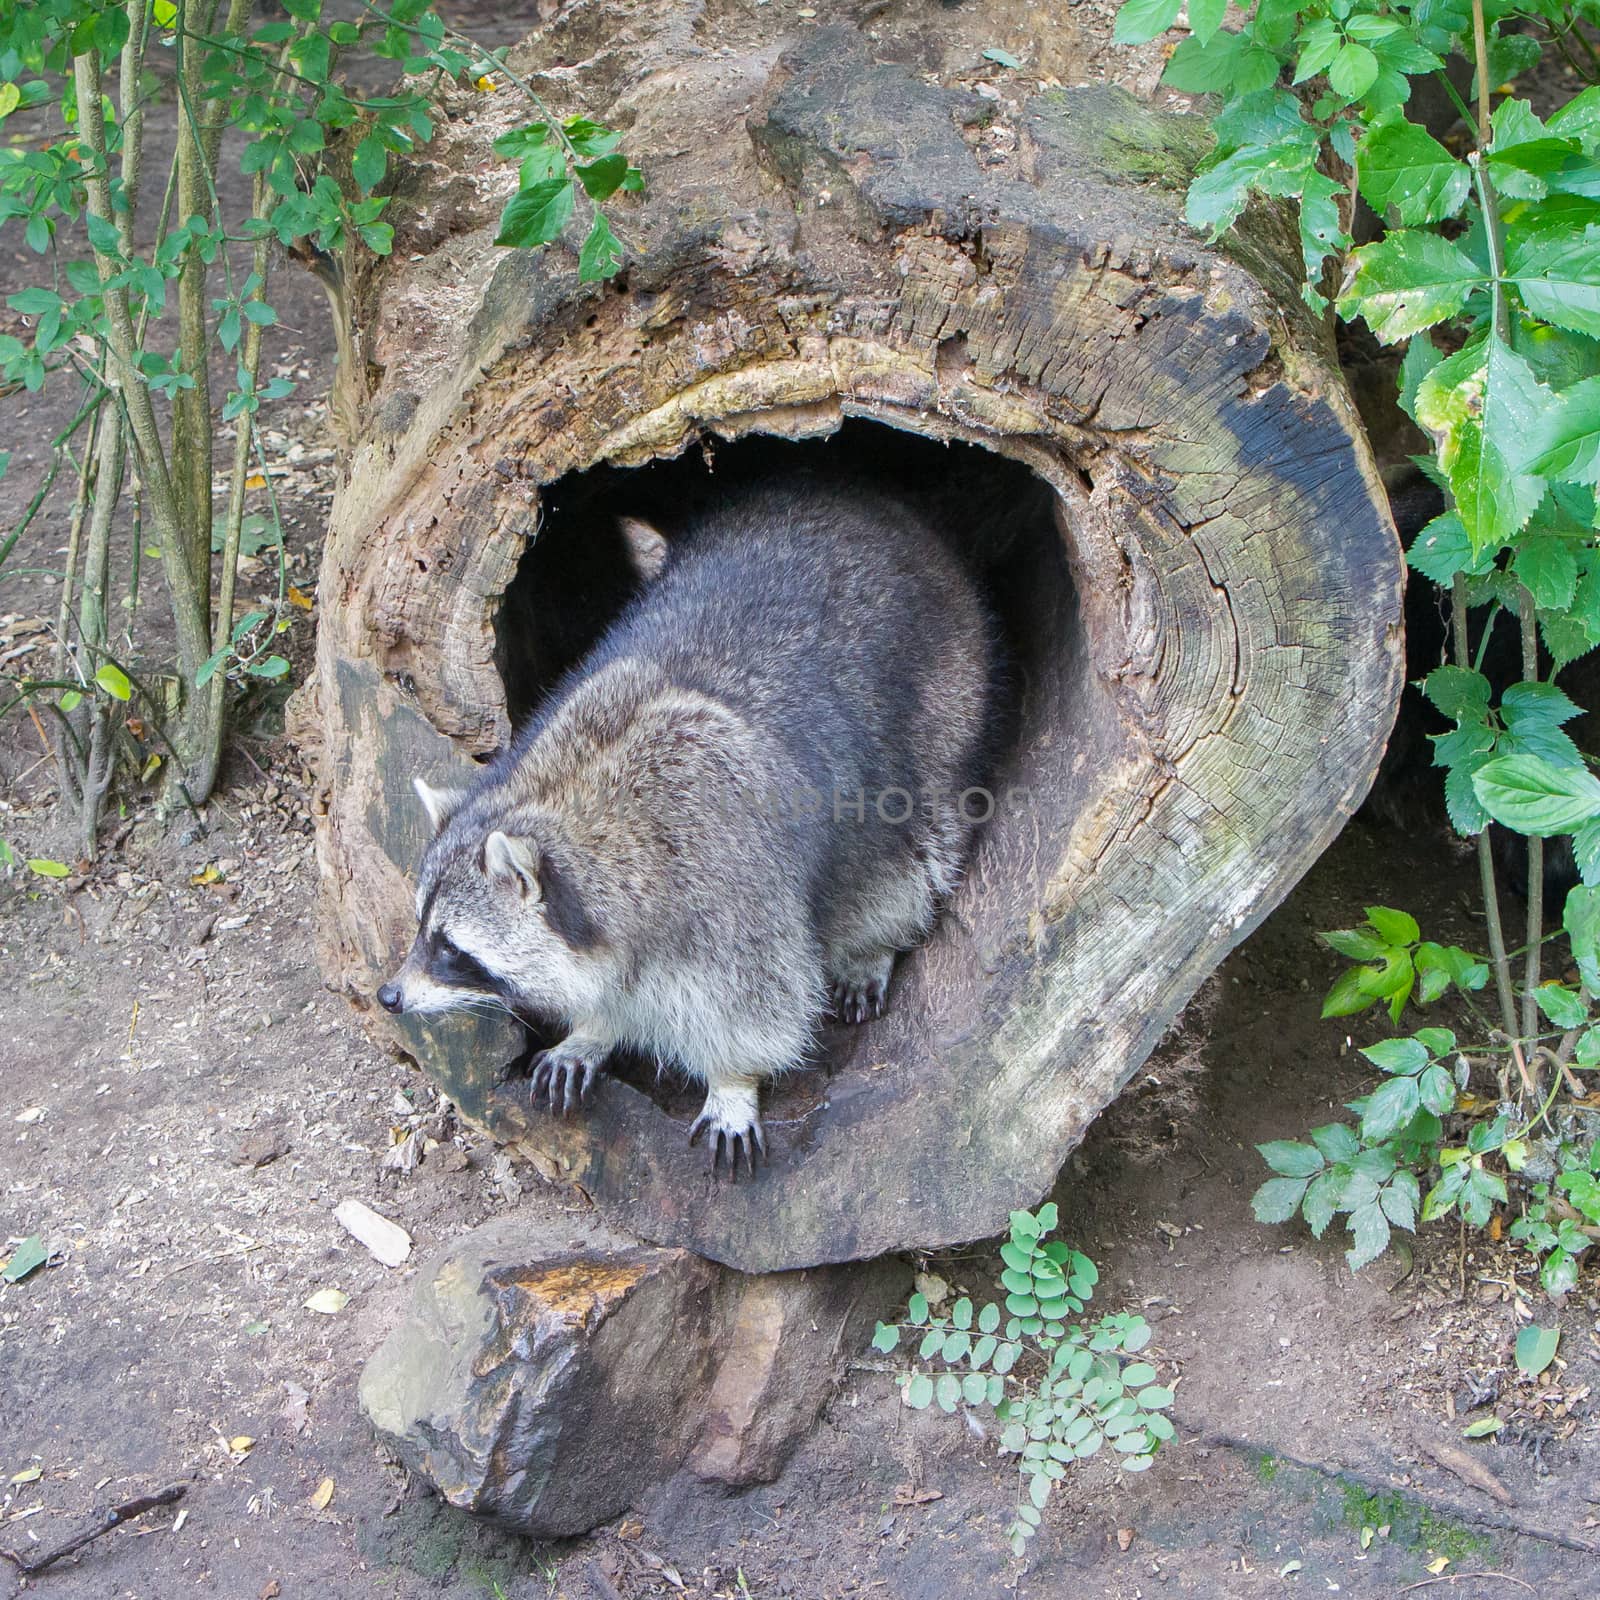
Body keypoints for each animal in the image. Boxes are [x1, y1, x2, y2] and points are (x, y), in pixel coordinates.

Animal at [376, 473, 998, 1177]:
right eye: (422, 929)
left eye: (450, 948)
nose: (389, 996)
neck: (567, 795)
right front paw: (594, 1027)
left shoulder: (731, 890)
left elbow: (761, 1003)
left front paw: (733, 1081)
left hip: (943, 703)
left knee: (909, 852)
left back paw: (876, 940)